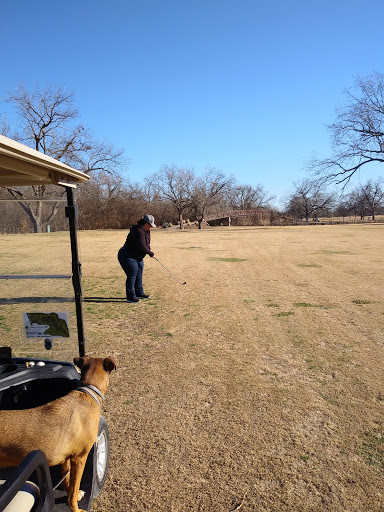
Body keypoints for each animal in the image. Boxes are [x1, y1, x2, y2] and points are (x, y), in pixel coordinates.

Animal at [0, 356, 116, 512]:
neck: (87, 394)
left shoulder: (66, 458)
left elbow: (68, 484)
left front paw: (72, 495)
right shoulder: (79, 459)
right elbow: (74, 487)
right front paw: (75, 508)